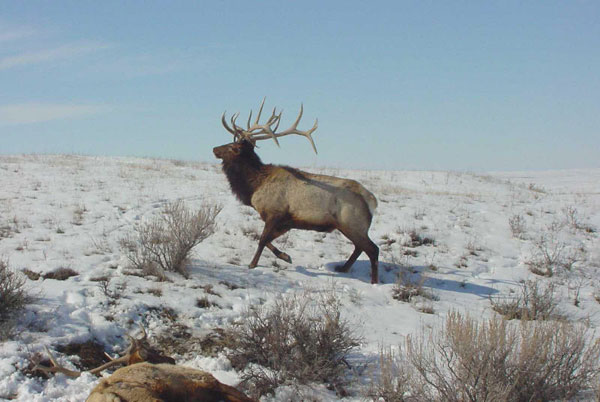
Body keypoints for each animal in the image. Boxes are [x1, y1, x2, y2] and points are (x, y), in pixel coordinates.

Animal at [213, 99, 378, 284]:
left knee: (373, 249)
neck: (254, 187)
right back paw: (343, 268)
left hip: (353, 223)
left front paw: (252, 264)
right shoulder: (287, 221)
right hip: (350, 227)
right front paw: (286, 257)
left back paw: (374, 281)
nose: (214, 149)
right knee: (360, 247)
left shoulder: (275, 212)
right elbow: (266, 240)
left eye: (232, 146)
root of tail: (371, 200)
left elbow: (262, 239)